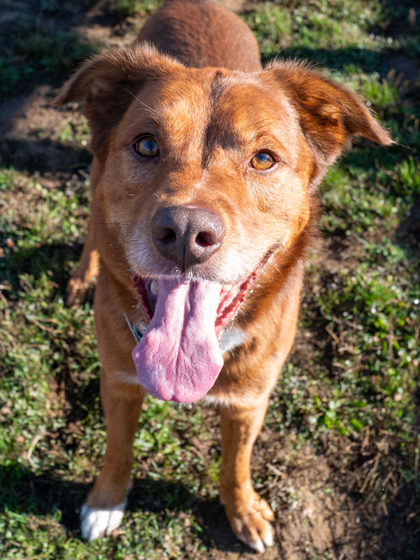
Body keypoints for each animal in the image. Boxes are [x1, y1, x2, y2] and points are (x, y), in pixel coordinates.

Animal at [51, 0, 390, 552]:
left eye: (264, 158)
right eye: (147, 146)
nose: (186, 233)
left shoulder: (250, 401)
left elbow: (236, 463)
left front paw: (244, 510)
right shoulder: (118, 382)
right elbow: (118, 449)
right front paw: (106, 500)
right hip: (95, 173)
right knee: (91, 223)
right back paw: (83, 274)